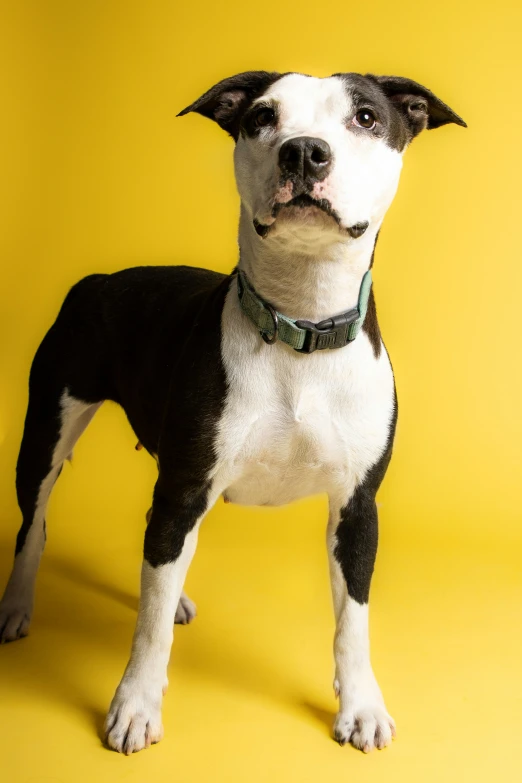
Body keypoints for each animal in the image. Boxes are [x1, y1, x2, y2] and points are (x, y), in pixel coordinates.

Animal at [0, 72, 464, 752]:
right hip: (47, 434)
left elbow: (352, 619)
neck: (301, 322)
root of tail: (100, 278)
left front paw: (361, 706)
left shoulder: (357, 508)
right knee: (37, 527)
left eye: (366, 117)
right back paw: (17, 604)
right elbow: (148, 629)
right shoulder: (184, 486)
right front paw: (135, 705)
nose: (304, 152)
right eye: (261, 117)